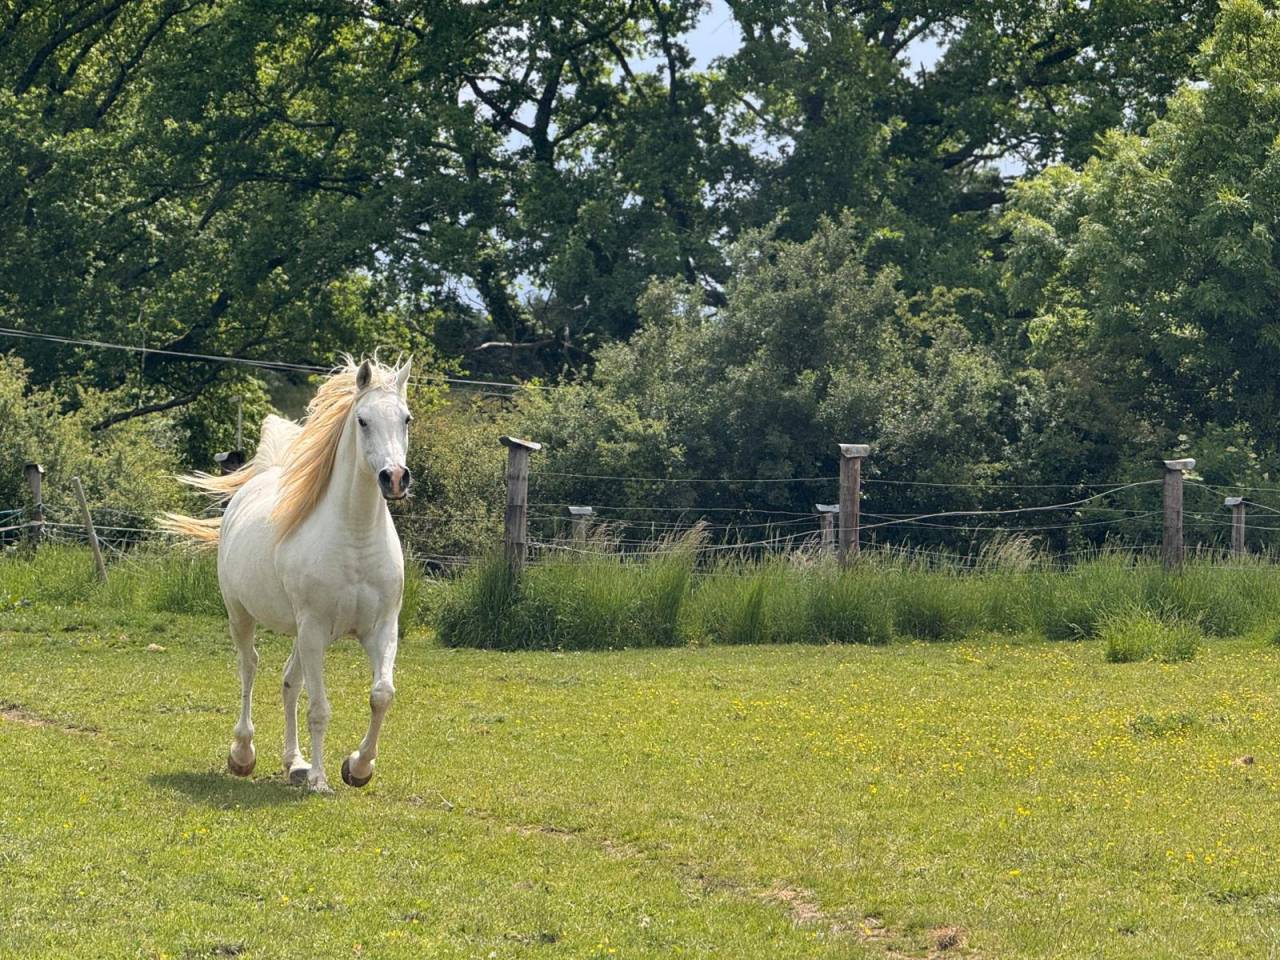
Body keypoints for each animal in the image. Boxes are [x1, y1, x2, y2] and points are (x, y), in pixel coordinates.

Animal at [160, 357, 413, 793]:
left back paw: (294, 763)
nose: (394, 478)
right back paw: (243, 754)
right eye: (362, 420)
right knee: (250, 667)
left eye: (406, 419)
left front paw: (358, 767)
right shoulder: (314, 629)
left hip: (299, 633)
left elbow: (382, 694)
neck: (356, 538)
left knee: (288, 682)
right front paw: (320, 781)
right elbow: (319, 708)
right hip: (242, 616)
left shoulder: (381, 628)